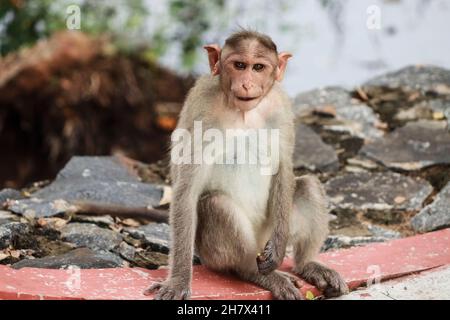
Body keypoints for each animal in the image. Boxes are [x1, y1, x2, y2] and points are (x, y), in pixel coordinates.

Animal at [144, 30, 348, 300]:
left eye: (258, 67)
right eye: (239, 65)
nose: (247, 84)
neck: (243, 112)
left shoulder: (280, 104)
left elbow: (283, 165)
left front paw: (281, 248)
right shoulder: (202, 109)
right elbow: (187, 190)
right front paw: (178, 281)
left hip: (267, 233)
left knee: (308, 186)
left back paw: (307, 264)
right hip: (214, 254)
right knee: (215, 204)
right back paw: (256, 273)